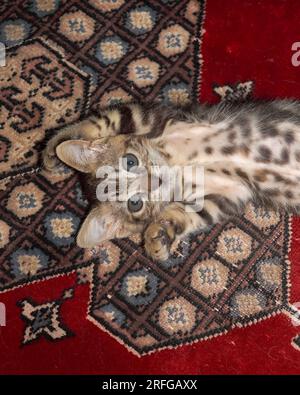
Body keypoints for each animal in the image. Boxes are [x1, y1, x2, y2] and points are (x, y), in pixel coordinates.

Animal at [43, 101, 300, 262]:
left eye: (130, 161)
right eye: (135, 203)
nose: (156, 180)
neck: (175, 165)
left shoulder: (159, 117)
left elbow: (104, 120)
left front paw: (55, 147)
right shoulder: (226, 192)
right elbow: (188, 215)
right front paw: (157, 238)